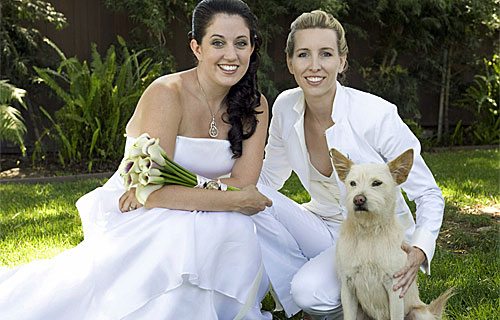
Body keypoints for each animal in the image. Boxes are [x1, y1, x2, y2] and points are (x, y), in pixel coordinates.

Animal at [332, 149, 454, 318]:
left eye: (376, 183)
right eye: (352, 183)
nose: (358, 199)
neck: (369, 232)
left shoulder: (395, 289)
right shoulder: (347, 287)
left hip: (418, 313)